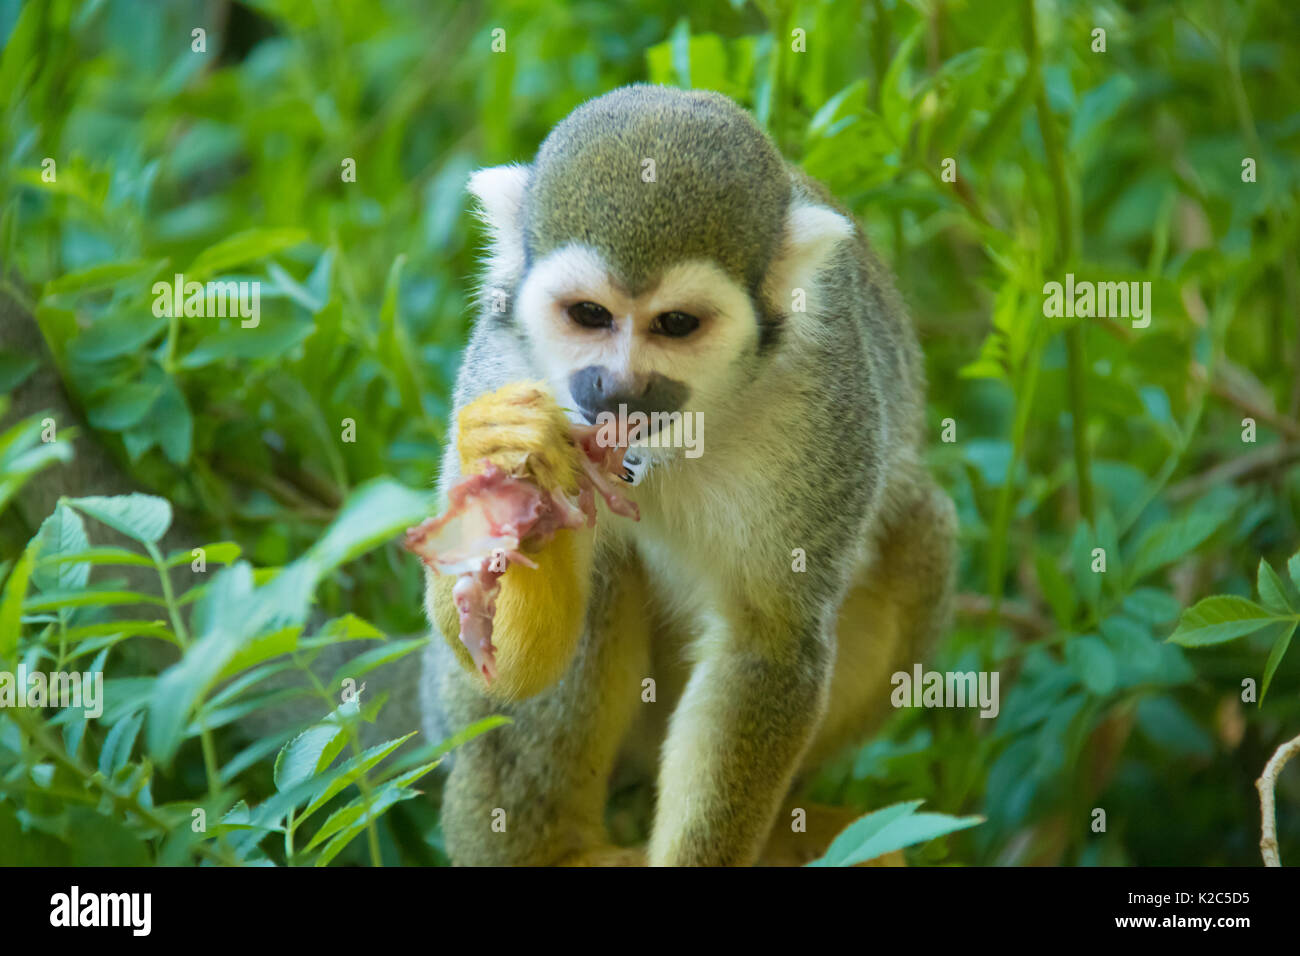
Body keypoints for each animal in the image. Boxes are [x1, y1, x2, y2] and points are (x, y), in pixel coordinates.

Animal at [421, 87, 961, 868]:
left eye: (675, 325)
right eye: (590, 315)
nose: (617, 388)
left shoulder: (825, 398)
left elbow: (768, 642)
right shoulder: (501, 363)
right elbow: (499, 660)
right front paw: (510, 472)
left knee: (919, 529)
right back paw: (548, 849)